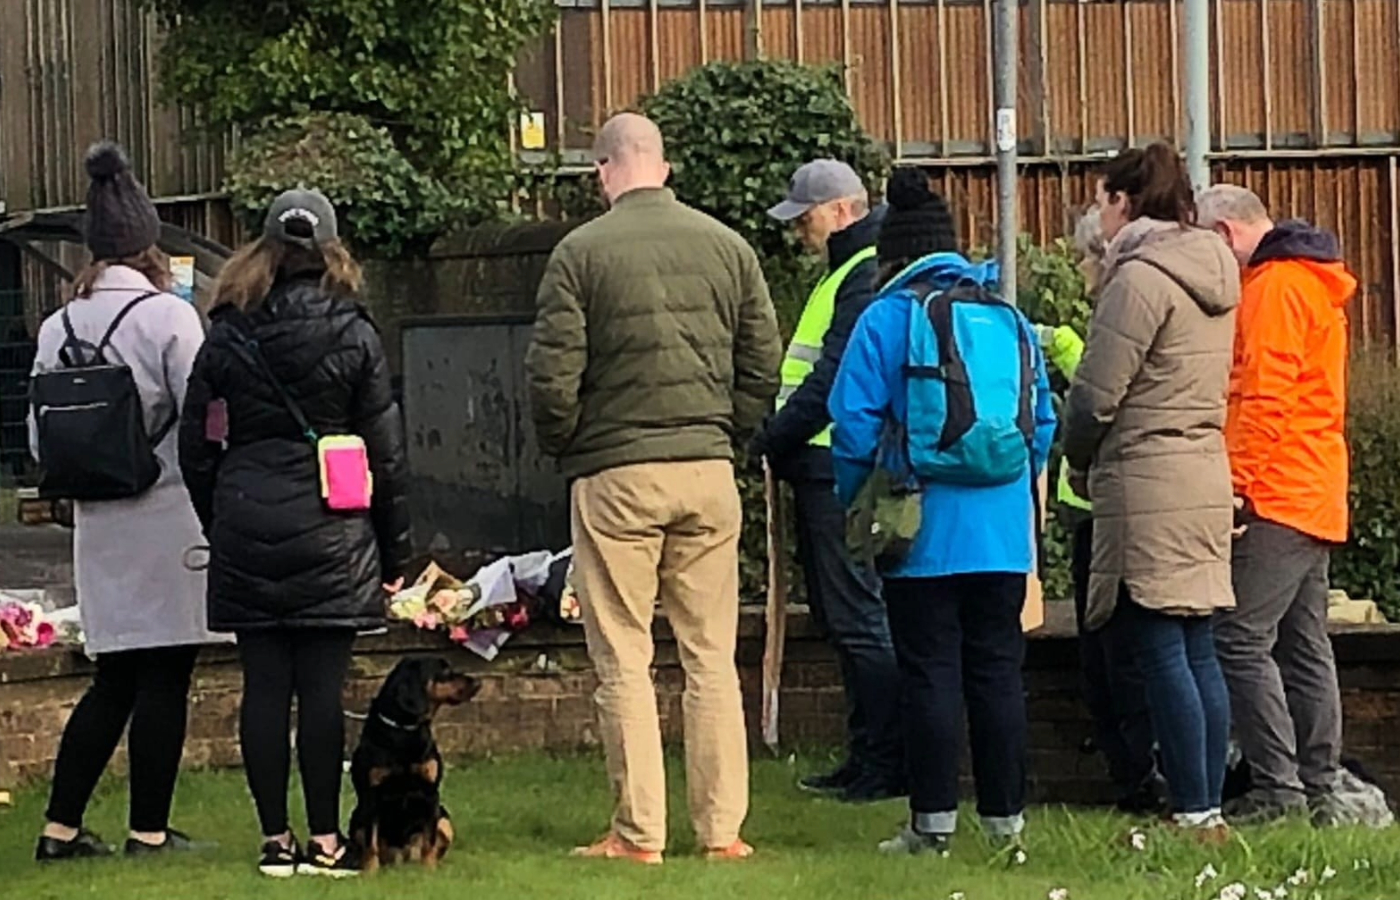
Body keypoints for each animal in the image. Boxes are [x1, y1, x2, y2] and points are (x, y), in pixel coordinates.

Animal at [350, 655, 481, 873]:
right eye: (445, 671)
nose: (478, 682)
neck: (405, 729)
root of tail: (400, 860)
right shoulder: (370, 796)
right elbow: (371, 843)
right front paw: (370, 873)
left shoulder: (430, 793)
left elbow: (429, 840)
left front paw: (428, 871)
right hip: (356, 819)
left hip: (444, 819)